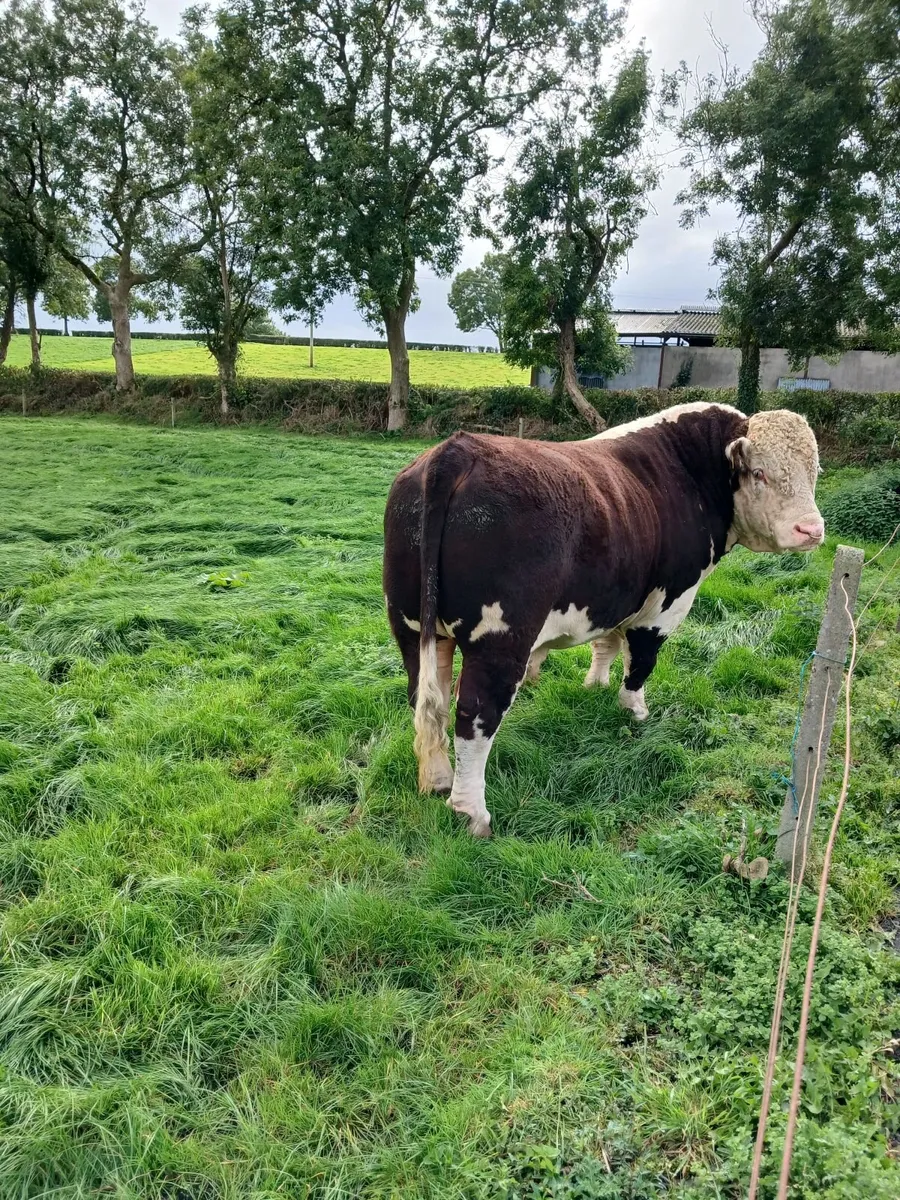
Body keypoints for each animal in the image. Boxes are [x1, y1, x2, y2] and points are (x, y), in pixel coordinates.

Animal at [383, 401, 824, 837]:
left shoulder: (615, 597)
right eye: (759, 472)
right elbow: (641, 660)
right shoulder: (666, 604)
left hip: (412, 627)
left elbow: (606, 644)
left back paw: (437, 779)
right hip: (500, 639)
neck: (691, 470)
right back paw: (471, 813)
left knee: (428, 700)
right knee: (476, 712)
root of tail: (456, 450)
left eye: (814, 471)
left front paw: (595, 685)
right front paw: (634, 710)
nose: (812, 530)